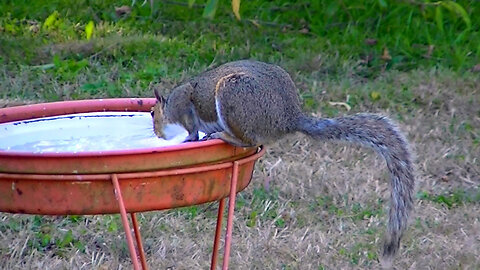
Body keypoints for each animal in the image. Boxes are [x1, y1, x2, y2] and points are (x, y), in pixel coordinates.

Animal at [152, 59, 414, 264]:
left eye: (153, 113)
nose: (156, 133)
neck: (172, 106)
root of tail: (289, 118)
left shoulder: (184, 104)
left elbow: (191, 128)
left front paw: (189, 137)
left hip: (233, 96)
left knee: (247, 140)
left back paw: (223, 135)